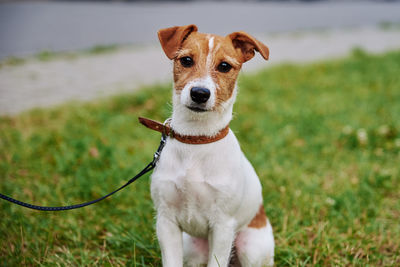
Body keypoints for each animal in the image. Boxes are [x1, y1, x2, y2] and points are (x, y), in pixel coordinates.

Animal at [139, 24, 274, 267]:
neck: (196, 139)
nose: (200, 94)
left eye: (224, 66)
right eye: (186, 60)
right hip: (192, 248)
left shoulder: (222, 227)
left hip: (251, 248)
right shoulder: (166, 222)